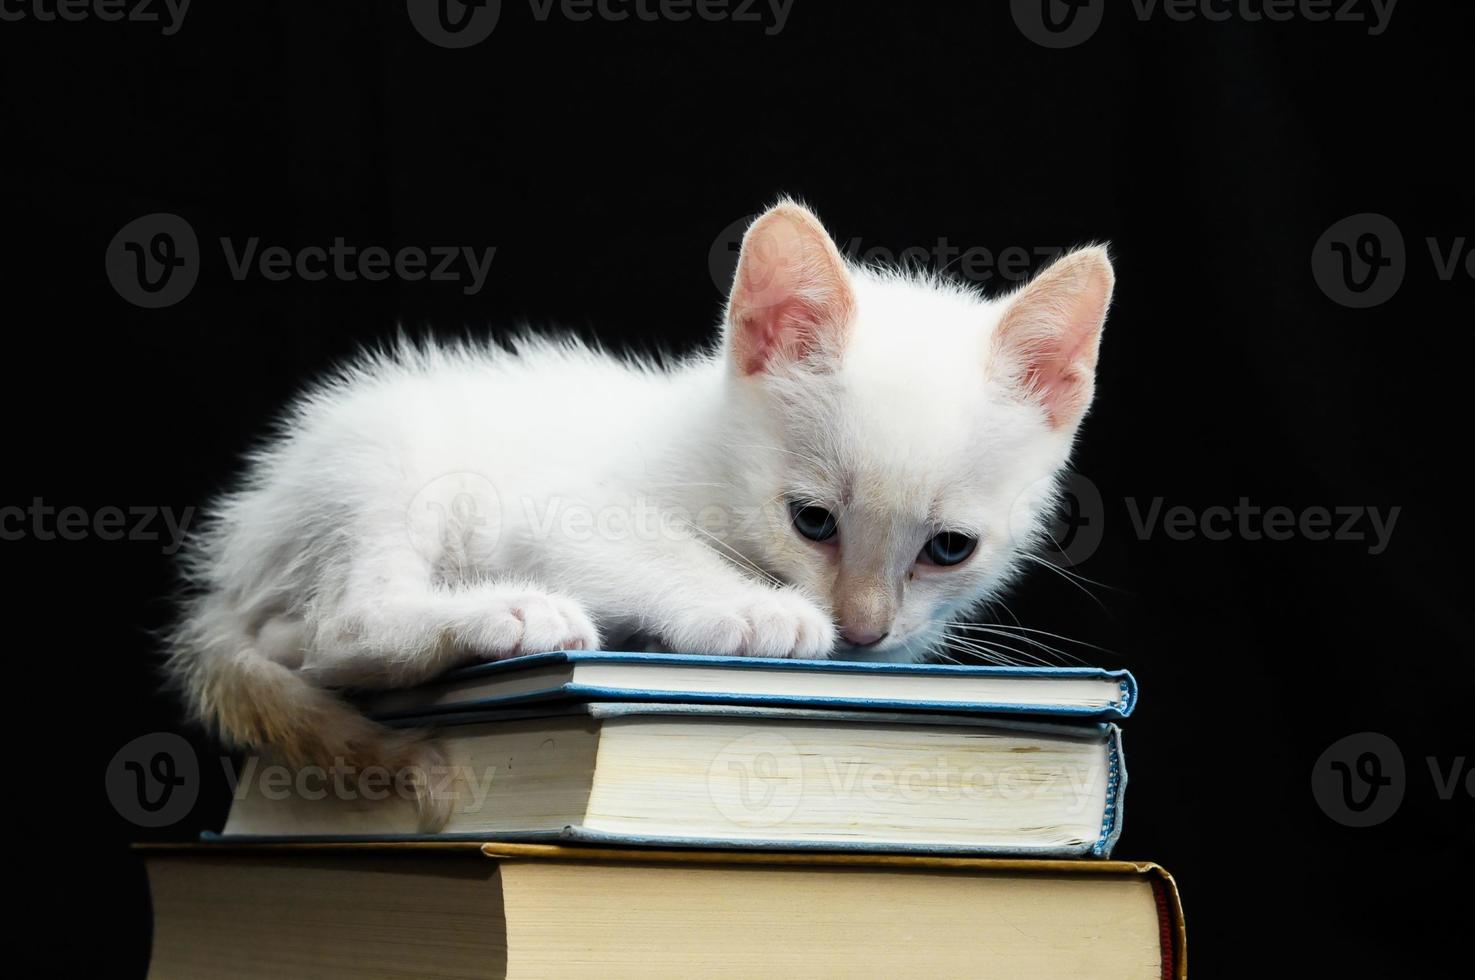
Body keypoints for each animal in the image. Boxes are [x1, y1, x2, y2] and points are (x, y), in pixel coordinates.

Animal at [167, 199, 1109, 802]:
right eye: (811, 522)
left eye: (949, 548)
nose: (864, 631)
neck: (707, 448)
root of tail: (230, 567)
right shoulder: (550, 509)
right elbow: (639, 547)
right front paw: (749, 607)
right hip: (377, 458)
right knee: (336, 631)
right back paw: (506, 613)